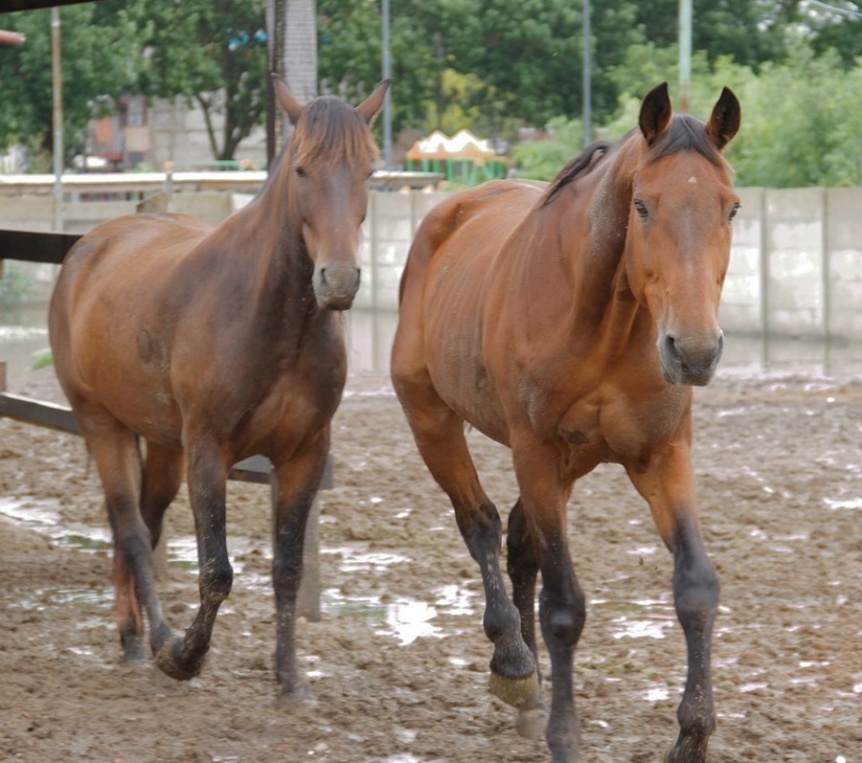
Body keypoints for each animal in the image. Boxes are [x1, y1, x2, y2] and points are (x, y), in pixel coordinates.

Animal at [44, 74, 388, 696]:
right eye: (302, 169)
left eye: (370, 171)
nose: (340, 280)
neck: (272, 319)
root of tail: (89, 245)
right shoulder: (209, 450)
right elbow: (217, 571)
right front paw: (187, 656)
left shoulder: (303, 455)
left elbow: (287, 567)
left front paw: (290, 679)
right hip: (102, 424)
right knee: (132, 531)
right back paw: (155, 642)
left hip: (162, 445)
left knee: (143, 526)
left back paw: (133, 638)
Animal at [392, 83, 744, 763]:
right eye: (642, 205)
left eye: (732, 208)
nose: (693, 351)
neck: (606, 321)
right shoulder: (534, 450)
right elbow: (564, 606)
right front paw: (564, 733)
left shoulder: (663, 455)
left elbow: (696, 588)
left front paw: (692, 734)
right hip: (434, 422)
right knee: (480, 523)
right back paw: (515, 664)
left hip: (569, 465)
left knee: (520, 540)